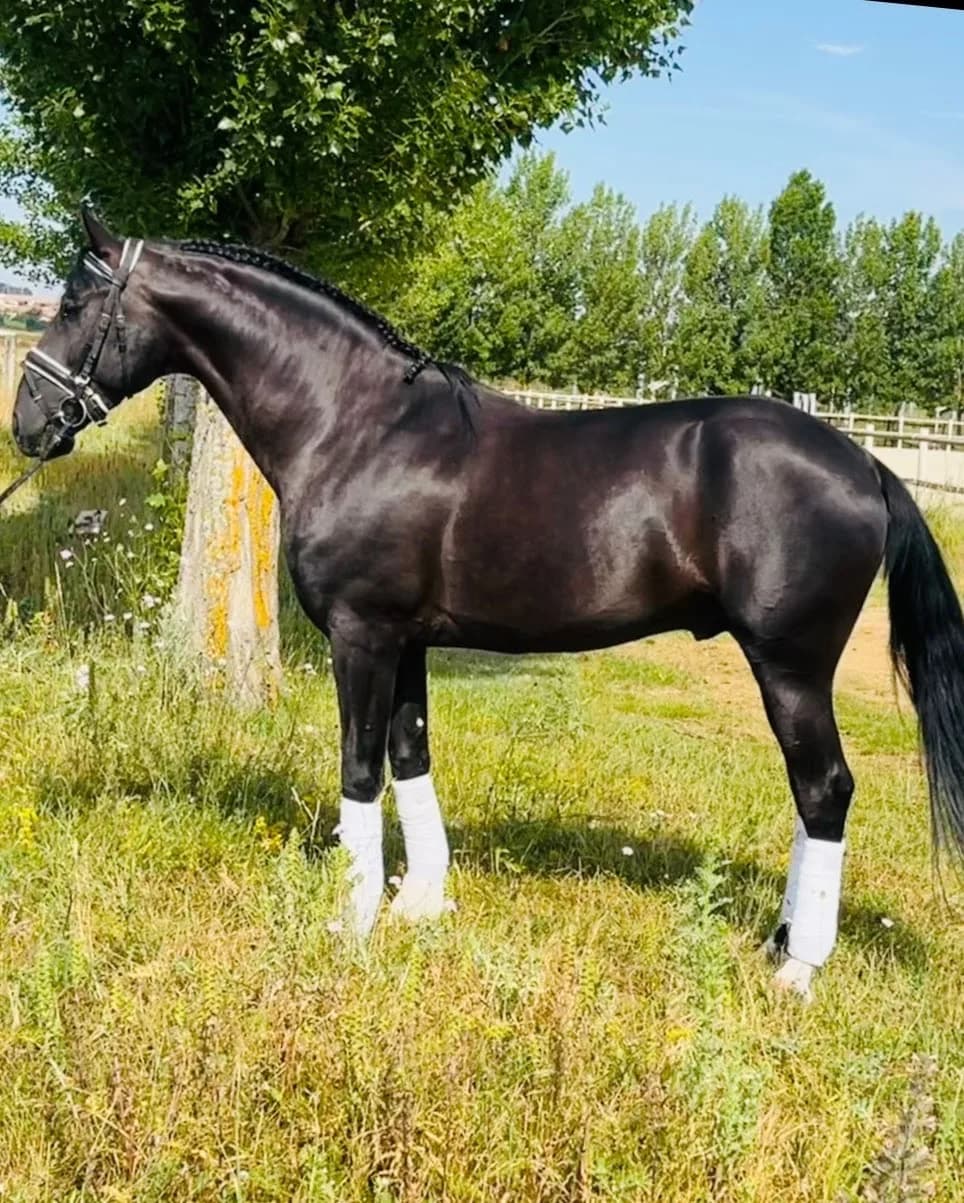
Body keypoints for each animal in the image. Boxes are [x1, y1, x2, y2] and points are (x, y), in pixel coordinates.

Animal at [11, 208, 964, 1000]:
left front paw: (352, 924)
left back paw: (798, 967)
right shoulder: (406, 641)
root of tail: (866, 464)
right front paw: (419, 907)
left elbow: (359, 771)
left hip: (791, 666)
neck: (356, 425)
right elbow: (410, 756)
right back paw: (780, 941)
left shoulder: (361, 634)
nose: (27, 421)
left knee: (824, 788)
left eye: (74, 300)